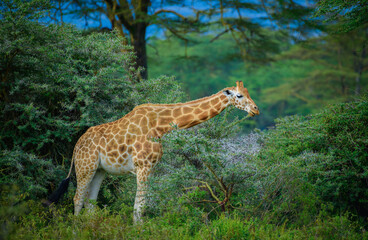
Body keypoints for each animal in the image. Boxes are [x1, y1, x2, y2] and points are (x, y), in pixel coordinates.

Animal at [48, 81, 258, 223]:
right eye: (239, 96)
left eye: (248, 93)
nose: (256, 110)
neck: (161, 125)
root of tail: (76, 146)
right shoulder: (143, 166)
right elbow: (138, 206)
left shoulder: (150, 168)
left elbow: (143, 205)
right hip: (85, 166)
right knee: (77, 199)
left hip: (100, 170)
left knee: (90, 202)